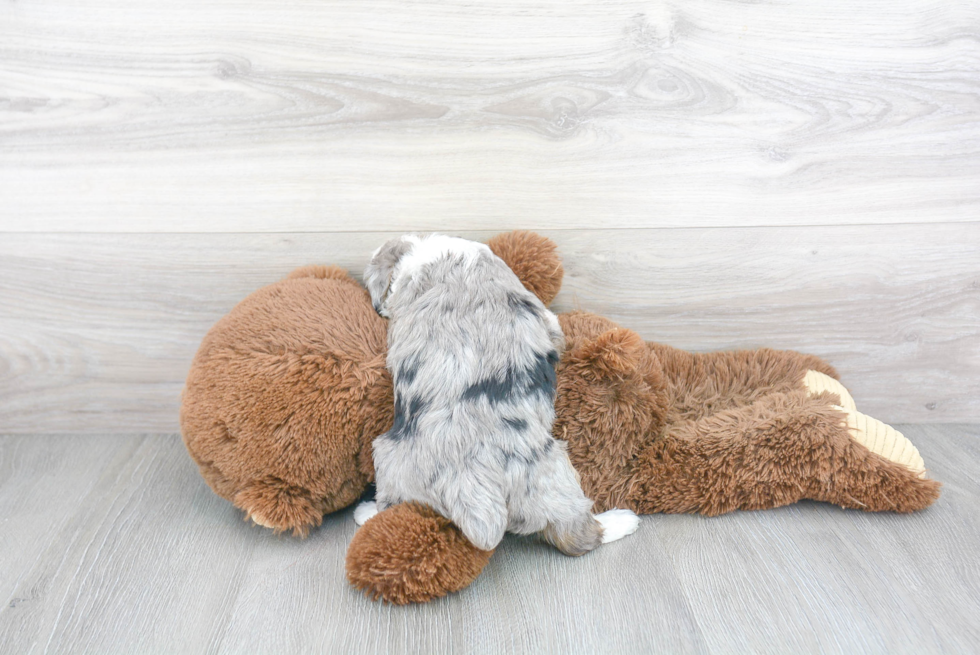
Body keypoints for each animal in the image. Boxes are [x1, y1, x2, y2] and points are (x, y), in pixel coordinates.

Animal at [356, 234, 640, 552]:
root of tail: (469, 482)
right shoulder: (542, 316)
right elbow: (555, 327)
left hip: (390, 459)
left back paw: (365, 512)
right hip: (553, 476)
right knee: (578, 535)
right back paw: (622, 520)